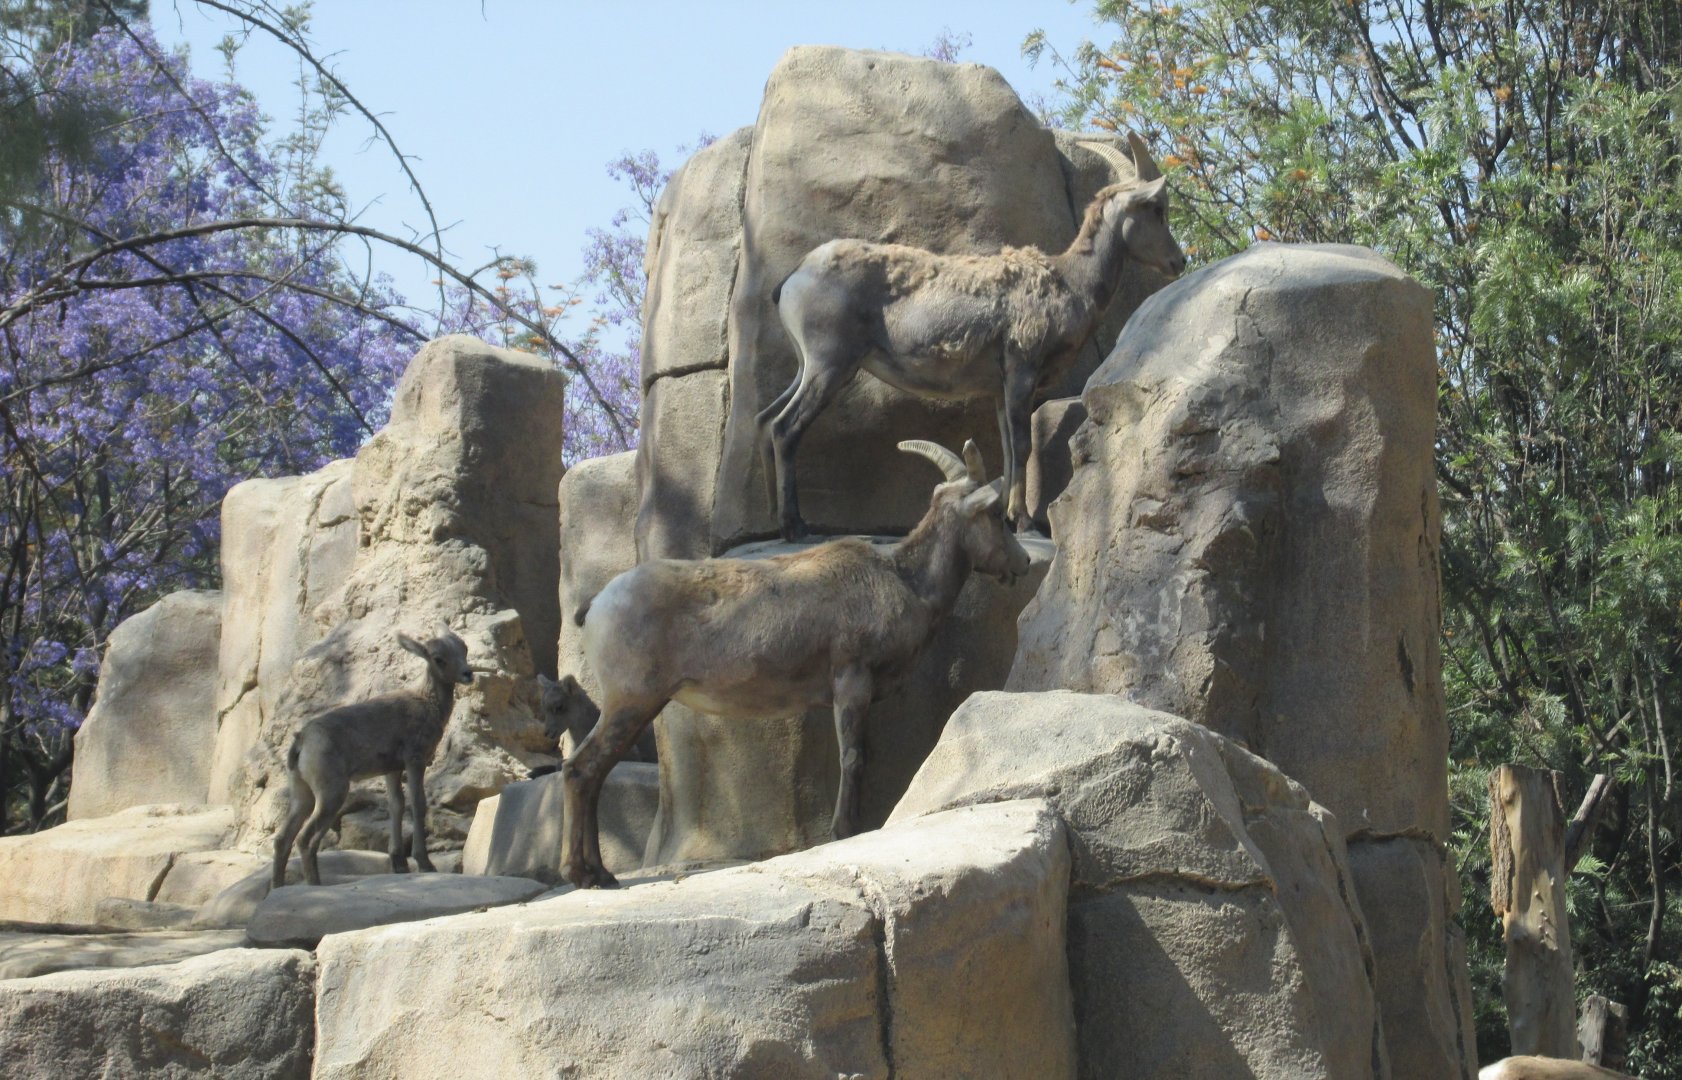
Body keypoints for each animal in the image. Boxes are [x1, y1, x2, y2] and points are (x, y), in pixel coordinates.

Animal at [271, 625, 477, 888]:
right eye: (438, 658)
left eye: (464, 648)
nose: (468, 674)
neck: (427, 704)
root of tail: (301, 740)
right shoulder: (415, 759)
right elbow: (417, 803)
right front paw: (425, 863)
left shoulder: (392, 768)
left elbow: (396, 804)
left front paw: (399, 864)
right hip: (332, 792)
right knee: (305, 839)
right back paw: (315, 884)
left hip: (302, 792)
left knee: (282, 839)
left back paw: (277, 888)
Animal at [559, 438, 1031, 888]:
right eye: (994, 513)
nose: (1023, 562)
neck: (906, 584)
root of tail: (597, 607)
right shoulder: (851, 679)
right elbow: (853, 758)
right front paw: (844, 831)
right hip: (631, 699)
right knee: (581, 769)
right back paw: (588, 875)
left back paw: (596, 873)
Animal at [759, 131, 1186, 541]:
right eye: (1156, 208)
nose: (1178, 262)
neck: (1070, 282)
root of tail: (793, 278)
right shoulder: (1021, 372)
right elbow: (1022, 445)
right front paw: (1025, 522)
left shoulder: (999, 388)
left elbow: (1009, 448)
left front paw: (1010, 517)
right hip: (830, 364)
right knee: (784, 427)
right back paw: (794, 526)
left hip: (808, 365)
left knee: (765, 419)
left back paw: (771, 523)